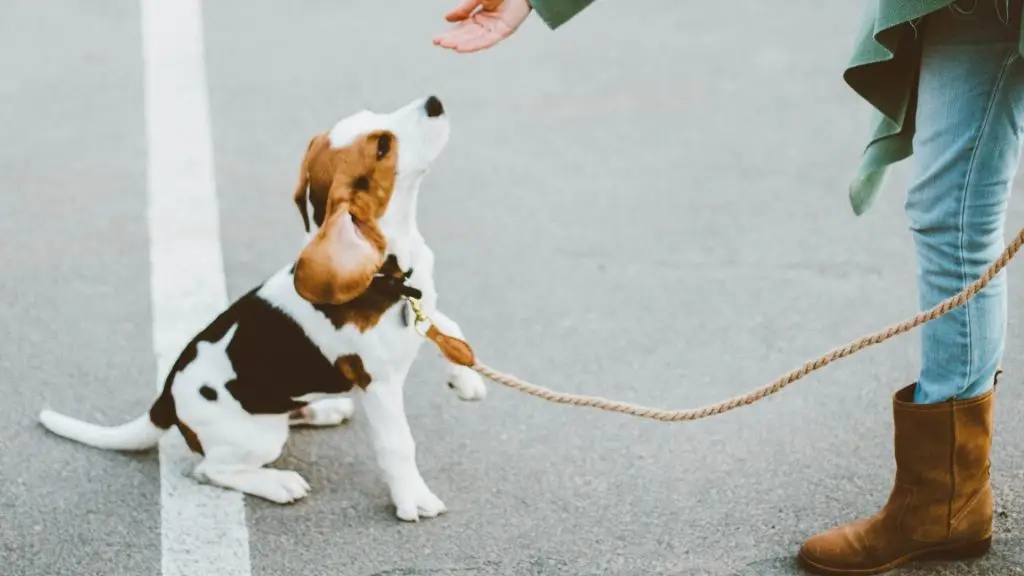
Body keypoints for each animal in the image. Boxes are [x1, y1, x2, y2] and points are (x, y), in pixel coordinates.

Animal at [37, 95, 485, 520]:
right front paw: (413, 499)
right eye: (382, 146)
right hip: (258, 439)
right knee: (211, 470)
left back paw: (324, 409)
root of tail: (165, 401)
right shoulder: (379, 385)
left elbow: (449, 328)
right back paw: (277, 482)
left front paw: (465, 377)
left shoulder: (422, 303)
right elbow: (398, 445)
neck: (389, 270)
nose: (434, 102)